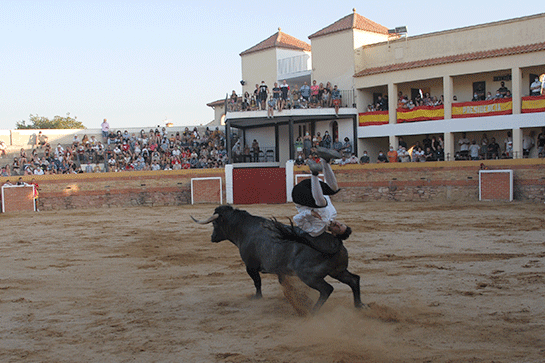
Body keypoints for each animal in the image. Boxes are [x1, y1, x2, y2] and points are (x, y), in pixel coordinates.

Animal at [190, 206, 362, 314]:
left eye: (214, 223)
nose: (212, 237)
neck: (244, 229)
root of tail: (336, 241)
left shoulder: (250, 266)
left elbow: (257, 282)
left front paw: (257, 297)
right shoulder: (281, 271)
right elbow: (285, 284)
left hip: (309, 276)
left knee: (327, 289)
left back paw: (312, 311)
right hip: (338, 271)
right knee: (354, 280)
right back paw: (359, 306)